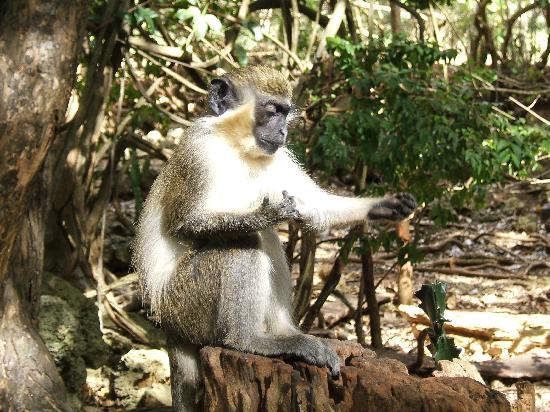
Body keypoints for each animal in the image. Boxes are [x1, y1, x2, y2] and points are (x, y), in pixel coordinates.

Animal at [134, 66, 418, 410]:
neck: (234, 144)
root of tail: (166, 323)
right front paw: (267, 214)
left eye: (285, 113)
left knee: (261, 241)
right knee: (243, 242)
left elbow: (314, 205)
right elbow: (186, 224)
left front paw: (383, 206)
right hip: (185, 305)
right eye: (272, 111)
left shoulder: (276, 156)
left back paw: (285, 332)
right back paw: (247, 339)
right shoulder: (198, 152)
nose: (282, 132)